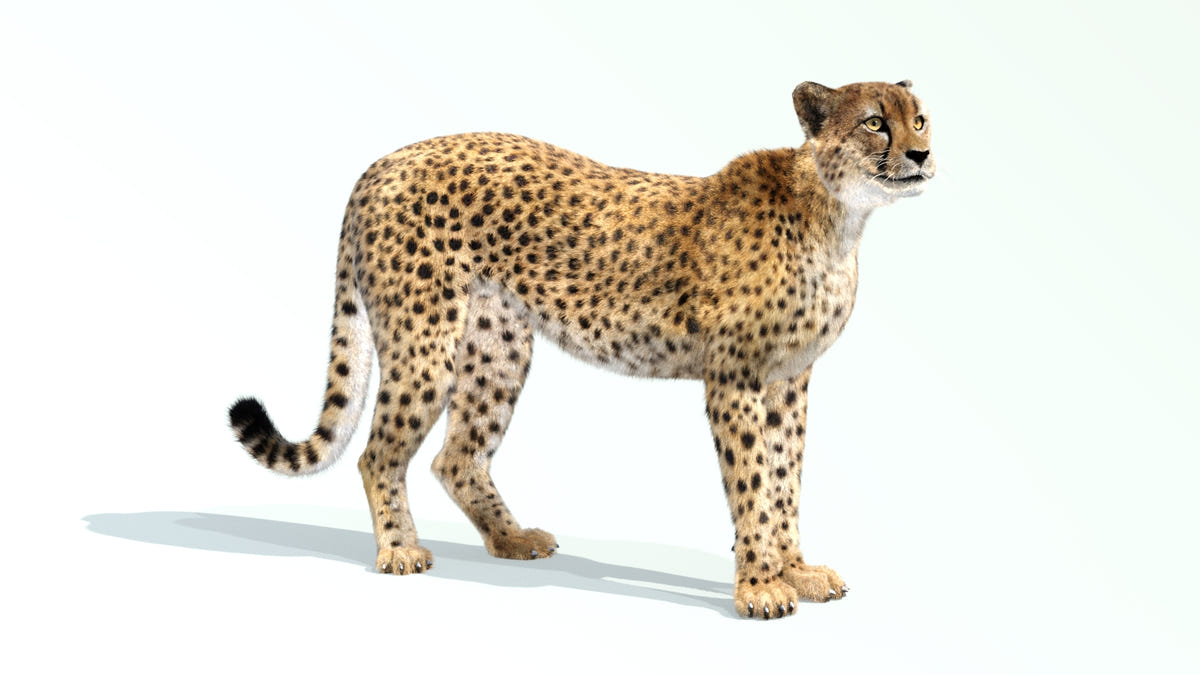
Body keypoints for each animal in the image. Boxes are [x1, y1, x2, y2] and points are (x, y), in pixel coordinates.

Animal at [229, 79, 934, 619]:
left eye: (920, 116)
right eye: (875, 123)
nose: (923, 153)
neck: (837, 218)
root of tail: (384, 162)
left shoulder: (790, 379)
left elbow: (786, 480)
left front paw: (796, 570)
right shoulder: (734, 378)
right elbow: (754, 482)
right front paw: (762, 587)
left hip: (498, 347)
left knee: (456, 456)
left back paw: (511, 538)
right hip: (424, 341)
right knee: (378, 454)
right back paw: (400, 550)